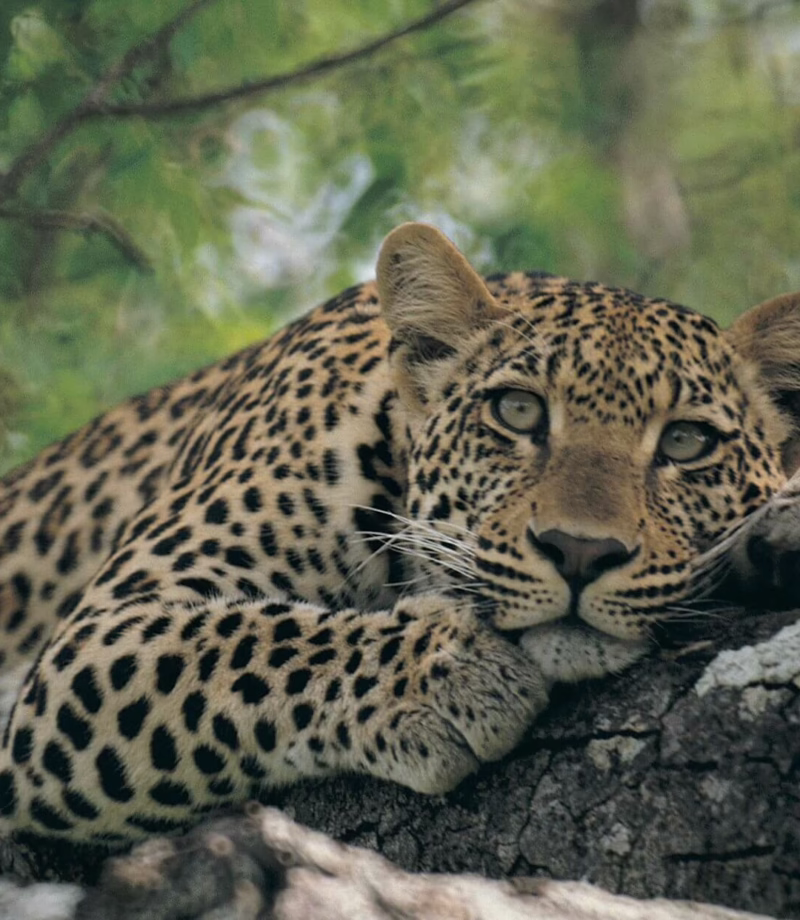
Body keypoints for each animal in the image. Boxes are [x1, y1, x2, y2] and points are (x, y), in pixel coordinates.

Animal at [0, 221, 799, 877]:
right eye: (517, 411)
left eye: (687, 442)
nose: (579, 551)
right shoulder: (96, 638)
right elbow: (248, 641)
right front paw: (447, 674)